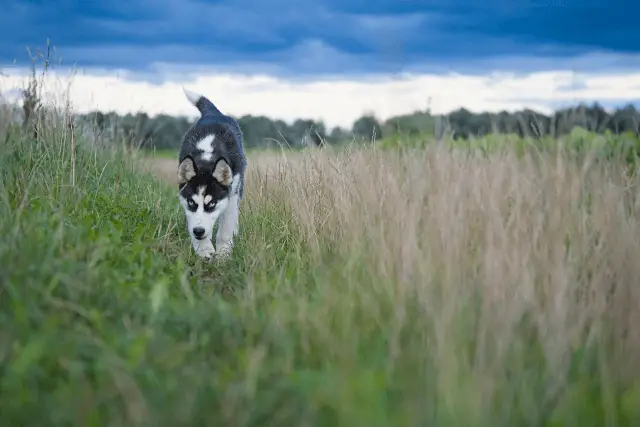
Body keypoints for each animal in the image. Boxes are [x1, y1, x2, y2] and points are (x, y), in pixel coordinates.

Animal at [176, 88, 246, 260]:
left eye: (212, 204)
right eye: (192, 203)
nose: (198, 231)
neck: (207, 156)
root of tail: (213, 113)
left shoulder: (231, 193)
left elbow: (225, 228)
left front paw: (223, 254)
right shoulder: (187, 205)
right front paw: (204, 250)